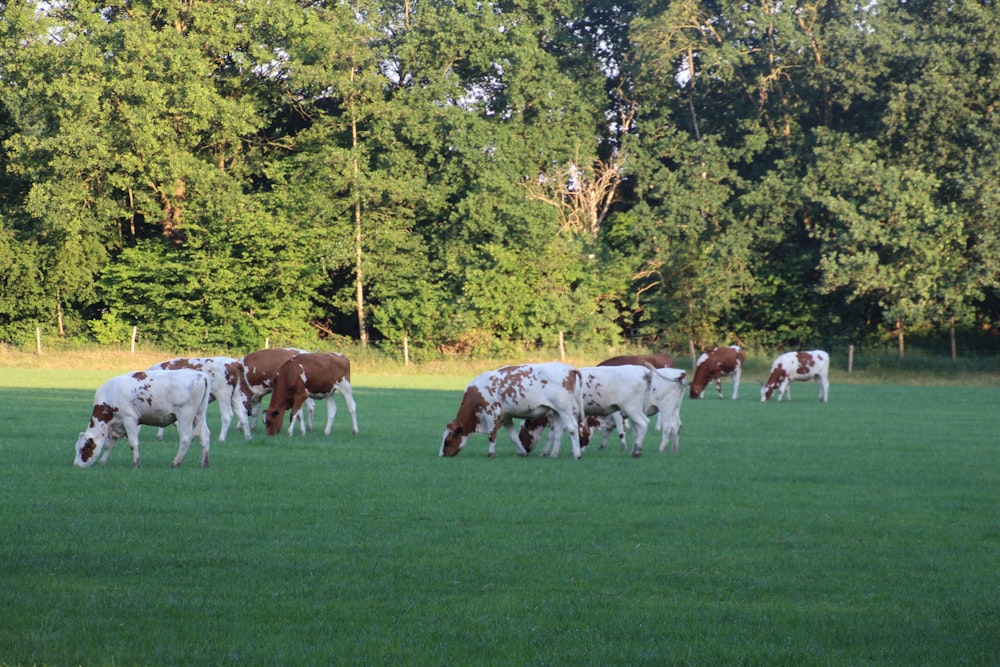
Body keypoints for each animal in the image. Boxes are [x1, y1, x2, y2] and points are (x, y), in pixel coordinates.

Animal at [75, 370, 213, 470]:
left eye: (84, 449)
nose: (76, 465)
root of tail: (200, 375)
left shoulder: (129, 419)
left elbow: (133, 443)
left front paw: (136, 464)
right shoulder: (116, 424)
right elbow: (110, 445)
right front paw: (103, 462)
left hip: (185, 415)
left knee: (185, 438)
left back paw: (175, 462)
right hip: (199, 415)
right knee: (204, 435)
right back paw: (205, 463)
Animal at [440, 362, 584, 462]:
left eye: (447, 441)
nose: (442, 455)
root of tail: (569, 368)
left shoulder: (490, 413)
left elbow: (492, 435)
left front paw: (491, 454)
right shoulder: (506, 417)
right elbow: (514, 437)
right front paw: (523, 453)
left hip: (564, 409)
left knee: (572, 428)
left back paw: (577, 454)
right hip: (556, 412)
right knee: (558, 433)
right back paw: (553, 455)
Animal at [516, 366, 688, 460]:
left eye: (521, 434)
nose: (523, 451)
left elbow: (554, 434)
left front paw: (546, 451)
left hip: (660, 407)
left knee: (661, 426)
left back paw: (652, 450)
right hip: (673, 408)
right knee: (676, 426)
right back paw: (672, 449)